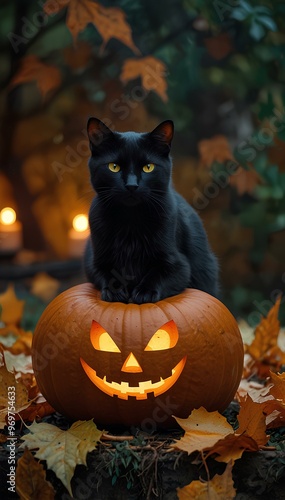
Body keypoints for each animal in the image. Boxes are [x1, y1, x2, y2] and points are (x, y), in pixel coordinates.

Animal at [84, 118, 217, 302]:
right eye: (114, 167)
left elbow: (158, 274)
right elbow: (105, 273)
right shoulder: (94, 262)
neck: (130, 220)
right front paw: (115, 291)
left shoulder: (179, 265)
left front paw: (144, 292)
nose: (132, 185)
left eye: (148, 167)